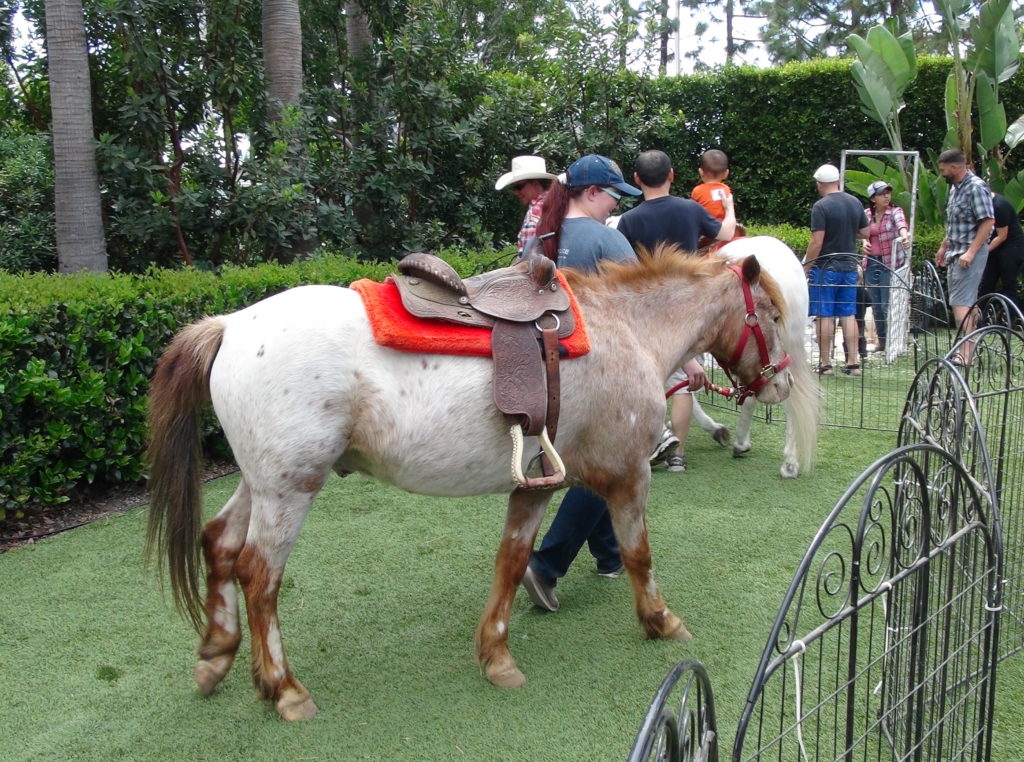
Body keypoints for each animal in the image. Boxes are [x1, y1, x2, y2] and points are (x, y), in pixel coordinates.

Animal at [148, 245, 794, 721]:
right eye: (773, 315)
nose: (781, 384)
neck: (627, 329)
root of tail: (231, 324)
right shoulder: (628, 474)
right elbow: (639, 554)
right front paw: (660, 620)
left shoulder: (537, 482)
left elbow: (511, 561)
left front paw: (496, 655)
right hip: (290, 490)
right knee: (259, 575)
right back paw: (283, 687)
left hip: (263, 482)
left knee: (219, 544)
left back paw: (216, 654)